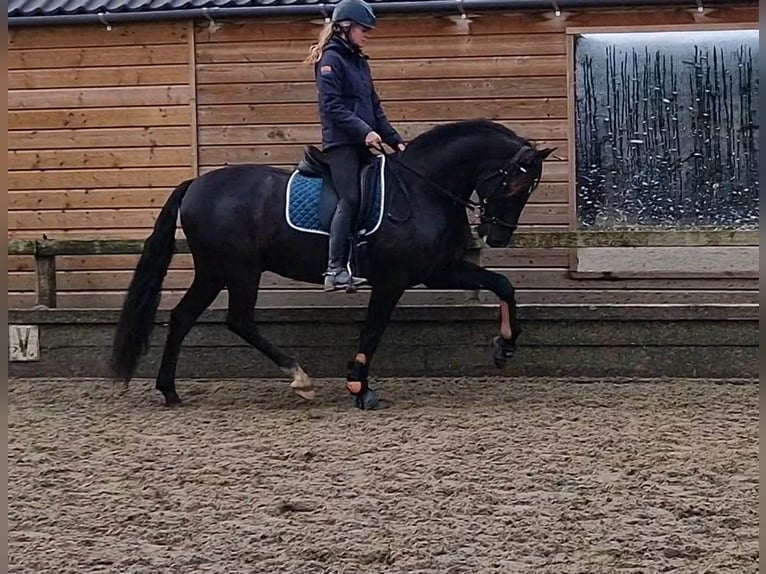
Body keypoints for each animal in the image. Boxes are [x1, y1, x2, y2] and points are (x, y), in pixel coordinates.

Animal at [109, 118, 555, 410]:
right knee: (239, 320)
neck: (421, 188)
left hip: (215, 271)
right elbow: (372, 331)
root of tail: (195, 185)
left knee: (183, 317)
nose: (498, 236)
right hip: (239, 270)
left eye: (529, 187)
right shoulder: (393, 280)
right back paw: (299, 378)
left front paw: (505, 346)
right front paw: (359, 387)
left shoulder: (436, 271)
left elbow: (503, 284)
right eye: (516, 182)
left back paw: (170, 391)